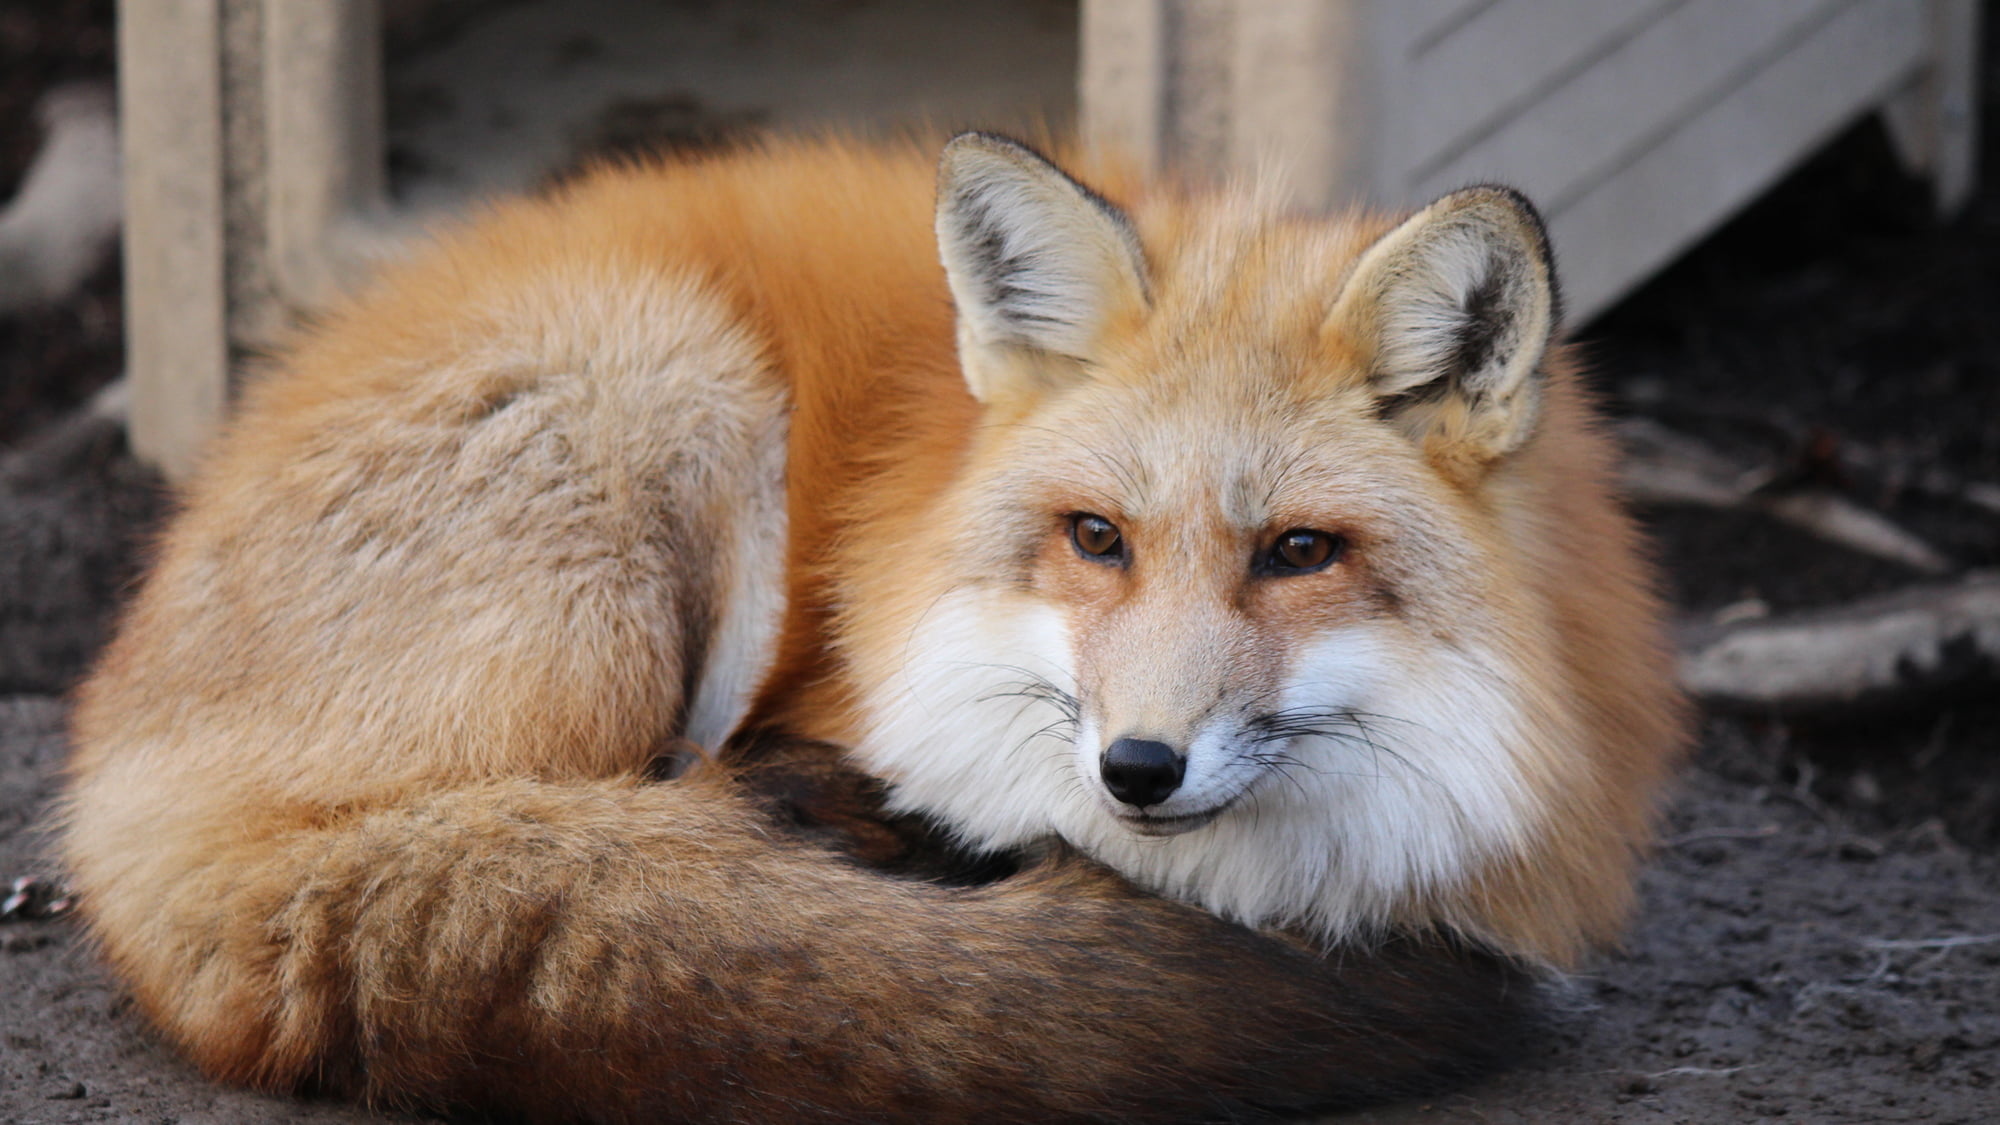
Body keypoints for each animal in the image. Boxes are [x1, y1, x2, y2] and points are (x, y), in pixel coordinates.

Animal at [58, 133, 1688, 1120]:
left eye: (1300, 553)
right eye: (1096, 539)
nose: (1137, 770)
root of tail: (110, 795)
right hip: (673, 393)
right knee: (620, 826)